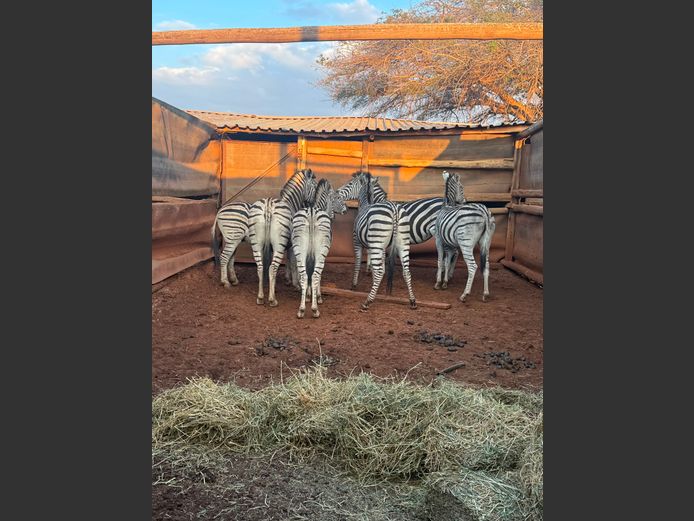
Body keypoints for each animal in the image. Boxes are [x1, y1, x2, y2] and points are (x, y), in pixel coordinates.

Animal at [247, 168, 317, 307]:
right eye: (314, 185)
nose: (312, 204)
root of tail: (268, 204)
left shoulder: (272, 247)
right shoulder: (292, 246)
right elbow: (293, 263)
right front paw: (296, 284)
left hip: (256, 242)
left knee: (260, 267)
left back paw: (260, 297)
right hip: (279, 244)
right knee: (272, 268)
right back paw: (272, 299)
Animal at [291, 178, 347, 318]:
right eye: (338, 197)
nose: (346, 209)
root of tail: (311, 212)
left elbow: (308, 274)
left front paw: (308, 296)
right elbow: (318, 276)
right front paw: (317, 296)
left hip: (299, 250)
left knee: (304, 275)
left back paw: (301, 309)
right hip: (322, 251)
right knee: (316, 275)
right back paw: (315, 309)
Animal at [339, 172, 417, 310]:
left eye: (350, 183)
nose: (337, 191)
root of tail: (394, 209)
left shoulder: (357, 240)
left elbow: (358, 262)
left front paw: (354, 285)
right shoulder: (381, 248)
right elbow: (380, 268)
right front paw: (376, 287)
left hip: (377, 243)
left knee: (380, 271)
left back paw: (367, 302)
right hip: (403, 244)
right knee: (406, 272)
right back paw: (412, 301)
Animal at [433, 171, 495, 302]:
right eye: (462, 188)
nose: (465, 201)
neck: (448, 205)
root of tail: (484, 212)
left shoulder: (439, 239)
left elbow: (441, 261)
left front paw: (438, 283)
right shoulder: (450, 243)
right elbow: (447, 261)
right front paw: (445, 282)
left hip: (466, 243)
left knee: (472, 266)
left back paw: (464, 294)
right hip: (486, 243)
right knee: (486, 265)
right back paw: (485, 293)